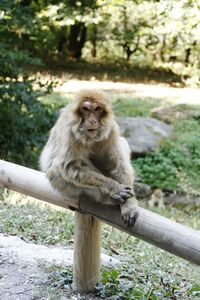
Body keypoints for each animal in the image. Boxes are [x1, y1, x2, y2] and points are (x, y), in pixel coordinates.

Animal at [39, 90, 138, 226]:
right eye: (86, 109)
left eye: (97, 109)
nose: (92, 121)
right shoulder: (70, 130)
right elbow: (70, 166)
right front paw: (113, 187)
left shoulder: (111, 128)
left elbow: (118, 163)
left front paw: (129, 205)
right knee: (58, 169)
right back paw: (108, 198)